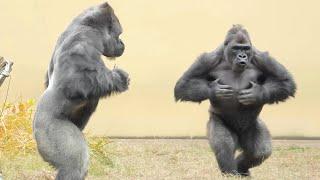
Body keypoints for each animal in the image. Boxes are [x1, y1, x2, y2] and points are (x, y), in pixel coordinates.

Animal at [31, 2, 128, 179]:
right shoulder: (83, 40)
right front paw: (118, 78)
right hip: (49, 131)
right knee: (74, 165)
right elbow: (74, 82)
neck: (85, 24)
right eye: (119, 34)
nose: (122, 44)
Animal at [174, 25, 296, 176]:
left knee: (260, 152)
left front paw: (257, 93)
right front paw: (214, 90)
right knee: (225, 147)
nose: (242, 56)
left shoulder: (263, 58)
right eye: (236, 48)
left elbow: (286, 82)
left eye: (245, 49)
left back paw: (241, 168)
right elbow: (183, 85)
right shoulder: (207, 59)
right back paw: (231, 172)